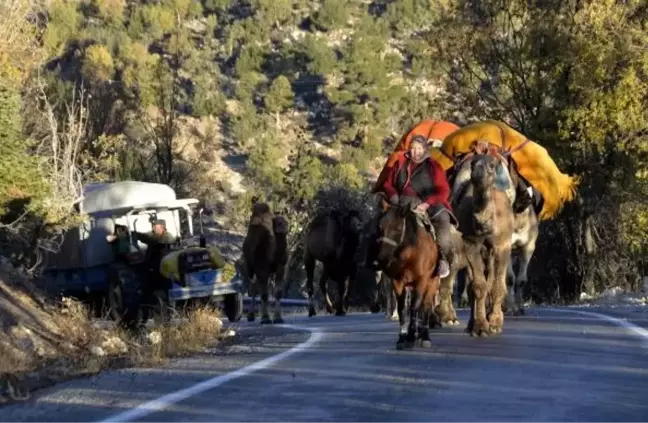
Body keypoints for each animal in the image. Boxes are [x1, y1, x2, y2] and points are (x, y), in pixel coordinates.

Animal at [374, 200, 440, 350]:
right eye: (380, 226)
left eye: (398, 228)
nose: (382, 259)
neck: (410, 253)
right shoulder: (397, 282)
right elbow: (402, 308)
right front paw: (402, 337)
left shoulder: (421, 281)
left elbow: (415, 306)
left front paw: (410, 337)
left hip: (432, 283)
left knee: (426, 306)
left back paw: (425, 336)